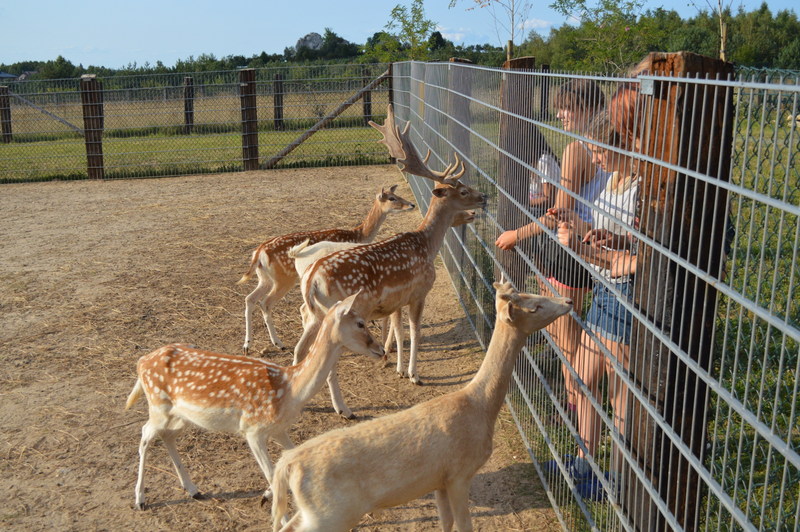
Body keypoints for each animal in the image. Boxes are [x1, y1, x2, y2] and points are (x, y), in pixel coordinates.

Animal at [125, 291, 384, 511]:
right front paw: (275, 506)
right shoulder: (252, 429)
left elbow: (291, 458)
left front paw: (267, 495)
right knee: (145, 434)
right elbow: (271, 472)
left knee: (167, 436)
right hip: (158, 406)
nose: (381, 349)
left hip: (182, 416)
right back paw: (140, 499)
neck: (289, 390)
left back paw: (192, 489)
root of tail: (141, 362)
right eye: (360, 323)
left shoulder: (278, 428)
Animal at [237, 185, 415, 355]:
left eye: (397, 195)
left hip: (265, 278)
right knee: (266, 303)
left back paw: (248, 345)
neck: (358, 235)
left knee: (250, 299)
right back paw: (279, 343)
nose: (412, 204)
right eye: (392, 198)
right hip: (283, 280)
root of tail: (258, 253)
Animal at [270, 278, 573, 532]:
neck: (481, 408)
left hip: (313, 512)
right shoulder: (460, 474)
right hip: (330, 514)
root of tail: (287, 464)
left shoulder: (439, 481)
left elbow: (446, 523)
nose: (568, 301)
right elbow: (464, 525)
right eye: (534, 306)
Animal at [291, 104, 488, 419]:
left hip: (314, 314)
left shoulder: (395, 300)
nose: (484, 197)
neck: (426, 245)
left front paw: (397, 367)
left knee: (300, 350)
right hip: (339, 314)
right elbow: (414, 331)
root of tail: (312, 280)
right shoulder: (419, 292)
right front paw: (414, 375)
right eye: (462, 191)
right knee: (325, 355)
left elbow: (397, 331)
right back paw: (343, 408)